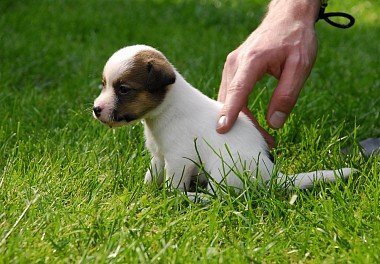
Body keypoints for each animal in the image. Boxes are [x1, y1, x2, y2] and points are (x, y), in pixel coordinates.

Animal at [93, 44, 354, 195]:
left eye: (123, 89)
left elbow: (173, 183)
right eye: (104, 84)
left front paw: (170, 197)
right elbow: (152, 173)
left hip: (222, 169)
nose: (96, 109)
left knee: (221, 197)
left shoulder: (179, 158)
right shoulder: (159, 155)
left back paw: (196, 197)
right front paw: (147, 191)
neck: (165, 110)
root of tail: (273, 177)